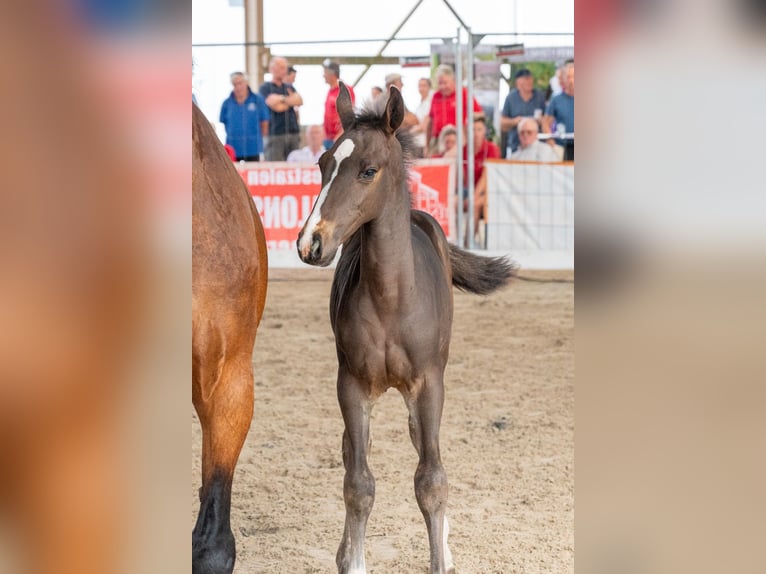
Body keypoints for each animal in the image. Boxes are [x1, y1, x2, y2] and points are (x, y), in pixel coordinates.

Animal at [296, 83, 516, 574]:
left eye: (368, 170)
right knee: (351, 452)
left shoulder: (429, 384)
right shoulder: (352, 385)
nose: (310, 243)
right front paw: (352, 560)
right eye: (322, 164)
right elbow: (358, 483)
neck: (392, 298)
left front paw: (440, 558)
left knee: (422, 446)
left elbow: (431, 479)